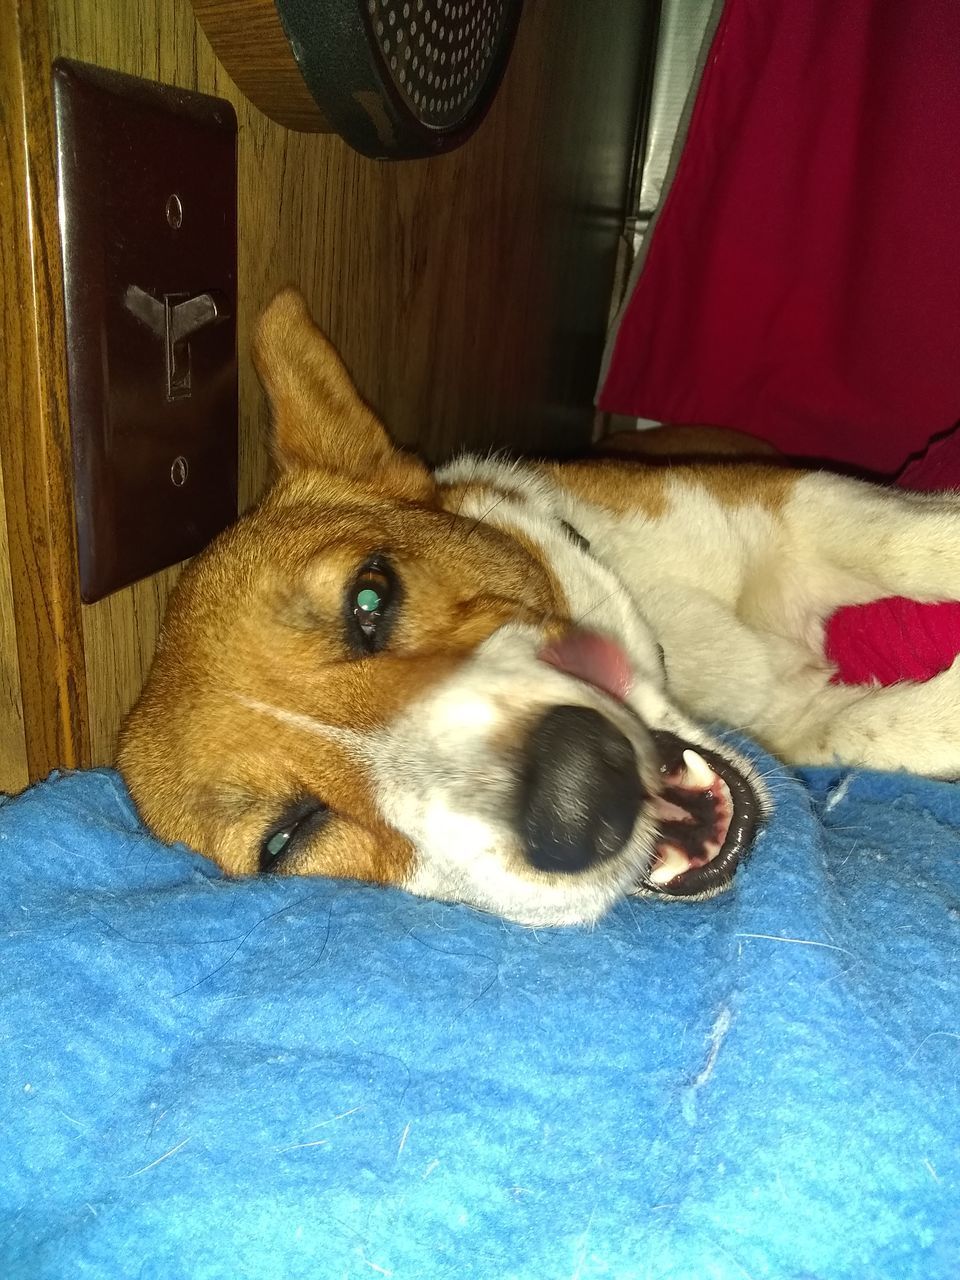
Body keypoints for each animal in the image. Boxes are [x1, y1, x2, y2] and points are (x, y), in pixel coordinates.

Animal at [116, 288, 960, 931]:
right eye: (285, 839)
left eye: (369, 597)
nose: (581, 796)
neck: (686, 658)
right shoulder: (804, 720)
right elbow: (881, 726)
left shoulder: (795, 503)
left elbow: (909, 540)